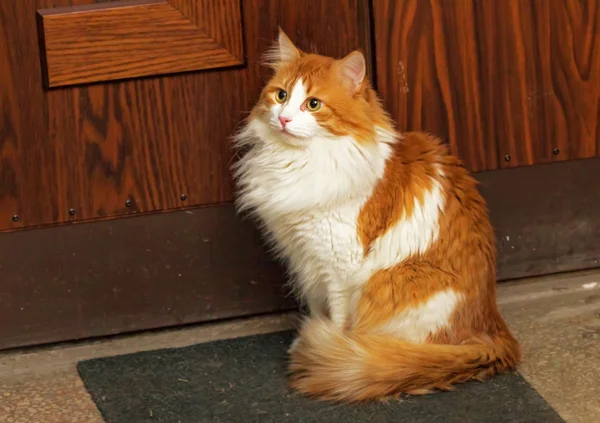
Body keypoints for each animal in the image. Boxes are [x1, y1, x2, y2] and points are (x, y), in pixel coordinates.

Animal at [232, 30, 524, 404]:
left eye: (313, 104)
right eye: (281, 95)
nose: (283, 119)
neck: (303, 160)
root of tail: (495, 331)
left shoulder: (338, 265)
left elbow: (337, 318)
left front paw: (330, 346)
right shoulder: (306, 259)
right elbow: (316, 306)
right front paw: (315, 341)